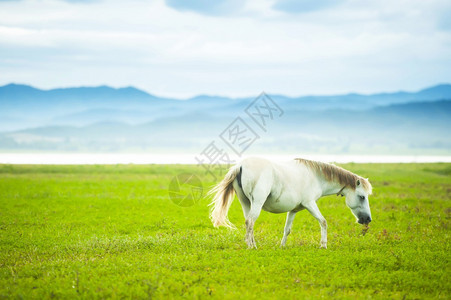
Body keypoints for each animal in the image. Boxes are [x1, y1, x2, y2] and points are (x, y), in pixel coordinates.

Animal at [210, 157, 372, 248]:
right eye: (362, 197)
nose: (368, 219)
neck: (316, 176)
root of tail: (240, 166)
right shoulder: (310, 204)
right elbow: (323, 222)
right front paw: (323, 245)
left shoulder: (293, 210)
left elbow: (287, 229)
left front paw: (282, 246)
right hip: (256, 203)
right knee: (250, 222)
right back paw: (251, 247)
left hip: (246, 203)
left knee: (248, 223)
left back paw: (252, 244)